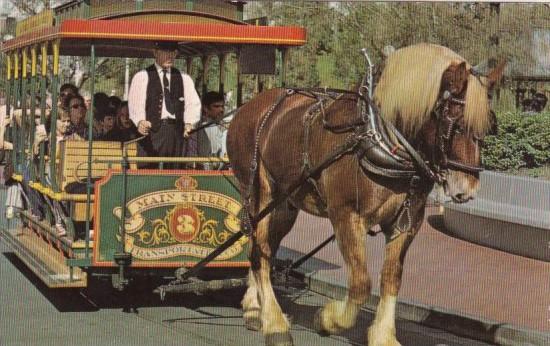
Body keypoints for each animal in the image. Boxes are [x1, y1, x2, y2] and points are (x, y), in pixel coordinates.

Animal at [226, 43, 506, 346]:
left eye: (488, 127)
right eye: (455, 124)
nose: (467, 190)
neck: (379, 138)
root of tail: (248, 107)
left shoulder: (407, 222)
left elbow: (391, 278)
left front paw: (383, 335)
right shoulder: (346, 216)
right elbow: (361, 283)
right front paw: (328, 320)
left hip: (285, 205)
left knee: (263, 248)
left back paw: (254, 308)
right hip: (259, 195)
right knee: (260, 250)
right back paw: (274, 323)